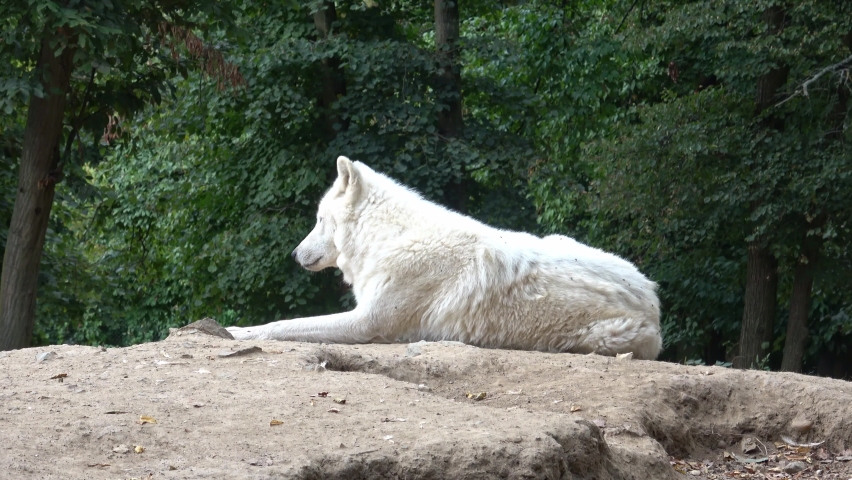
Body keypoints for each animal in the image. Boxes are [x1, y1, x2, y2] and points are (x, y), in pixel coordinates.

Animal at [227, 156, 663, 359]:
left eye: (320, 220)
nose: (294, 254)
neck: (389, 239)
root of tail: (652, 296)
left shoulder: (366, 322)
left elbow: (284, 324)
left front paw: (236, 331)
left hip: (603, 337)